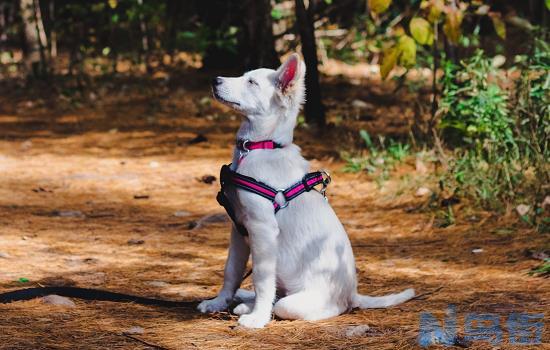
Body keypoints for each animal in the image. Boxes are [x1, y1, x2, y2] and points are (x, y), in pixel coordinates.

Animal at [198, 54, 414, 328]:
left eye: (251, 82)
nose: (214, 80)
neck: (260, 147)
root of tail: (353, 294)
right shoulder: (238, 228)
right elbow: (232, 271)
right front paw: (218, 302)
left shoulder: (262, 229)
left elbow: (261, 278)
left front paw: (258, 318)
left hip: (303, 301)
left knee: (289, 304)